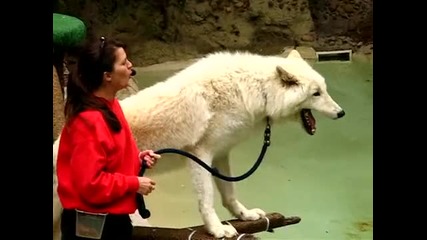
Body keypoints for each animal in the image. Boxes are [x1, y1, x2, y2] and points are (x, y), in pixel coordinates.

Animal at [53, 49, 346, 239]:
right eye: (316, 94)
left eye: (324, 90)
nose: (341, 113)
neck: (255, 90)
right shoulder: (199, 155)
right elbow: (207, 200)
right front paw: (217, 230)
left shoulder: (221, 154)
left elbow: (230, 194)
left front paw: (244, 216)